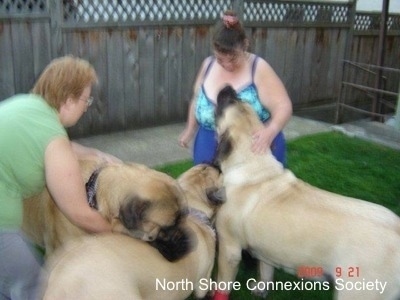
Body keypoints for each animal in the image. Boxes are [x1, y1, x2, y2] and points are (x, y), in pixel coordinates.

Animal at [211, 85, 398, 300]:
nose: (228, 88)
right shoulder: (266, 250)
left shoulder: (229, 249)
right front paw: (261, 290)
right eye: (240, 100)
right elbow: (266, 271)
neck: (252, 162)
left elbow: (223, 282)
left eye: (227, 104)